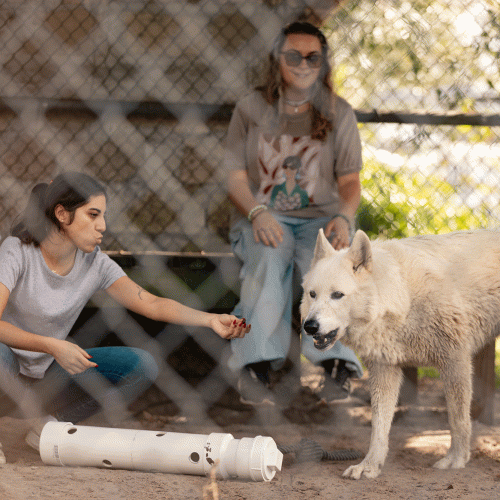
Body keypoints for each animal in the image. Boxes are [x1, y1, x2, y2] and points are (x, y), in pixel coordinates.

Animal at [300, 229, 500, 478]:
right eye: (312, 294)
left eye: (337, 294)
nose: (309, 326)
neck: (403, 297)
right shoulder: (385, 372)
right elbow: (378, 427)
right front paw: (369, 466)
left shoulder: (455, 362)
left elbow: (458, 419)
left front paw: (457, 459)